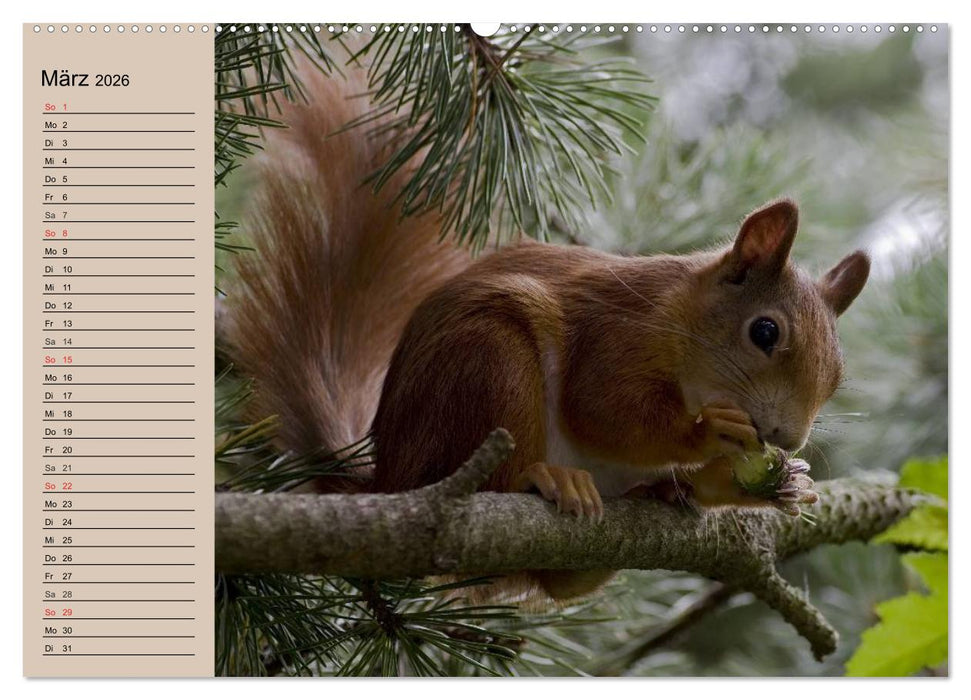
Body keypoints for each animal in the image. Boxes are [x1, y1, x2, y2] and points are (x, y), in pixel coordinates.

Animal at [225, 64, 871, 601]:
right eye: (764, 332)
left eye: (839, 374)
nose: (787, 438)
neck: (681, 322)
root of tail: (390, 483)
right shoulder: (616, 335)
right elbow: (603, 411)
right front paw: (710, 433)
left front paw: (771, 484)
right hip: (488, 362)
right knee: (500, 477)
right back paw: (545, 478)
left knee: (563, 584)